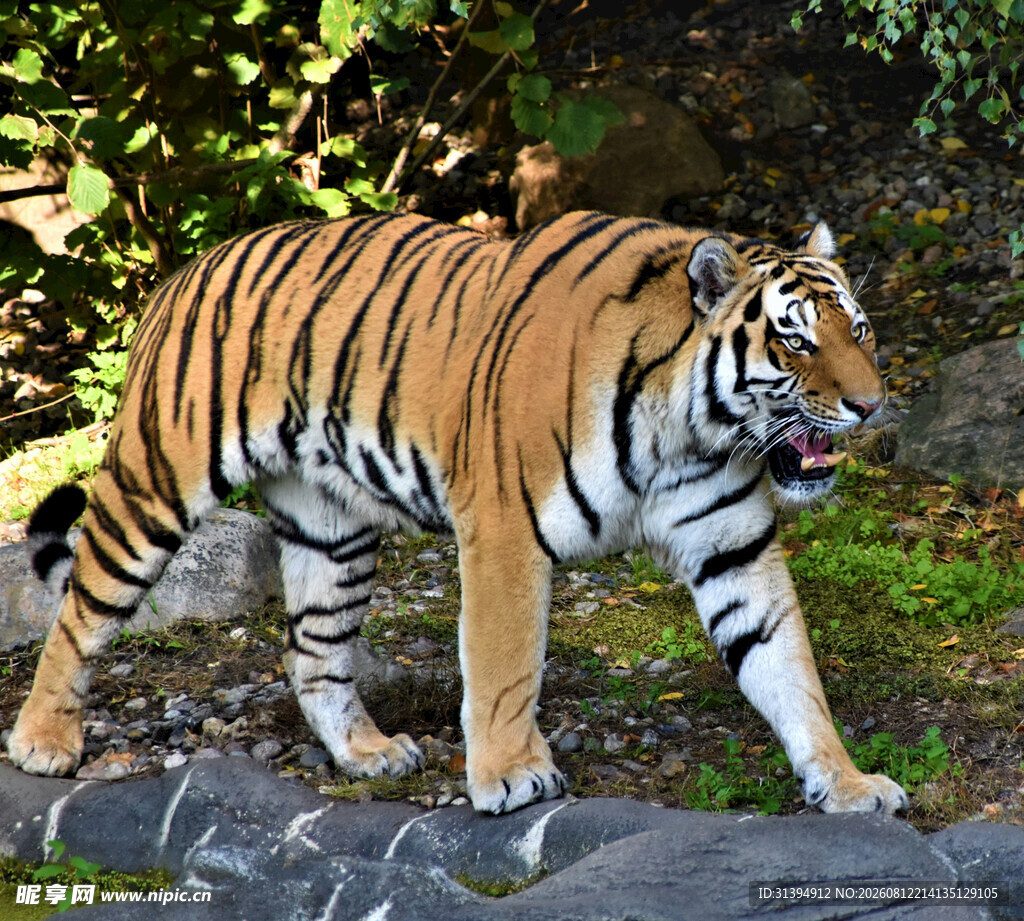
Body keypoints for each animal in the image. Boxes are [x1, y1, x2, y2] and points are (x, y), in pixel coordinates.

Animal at [7, 210, 909, 816]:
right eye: (796, 341)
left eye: (861, 331)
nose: (870, 406)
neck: (692, 429)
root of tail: (185, 270)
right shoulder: (506, 530)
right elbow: (506, 666)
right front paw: (511, 774)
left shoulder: (733, 546)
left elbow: (788, 668)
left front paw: (848, 781)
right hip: (156, 481)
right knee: (80, 610)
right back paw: (43, 742)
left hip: (332, 534)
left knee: (312, 652)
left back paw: (369, 753)